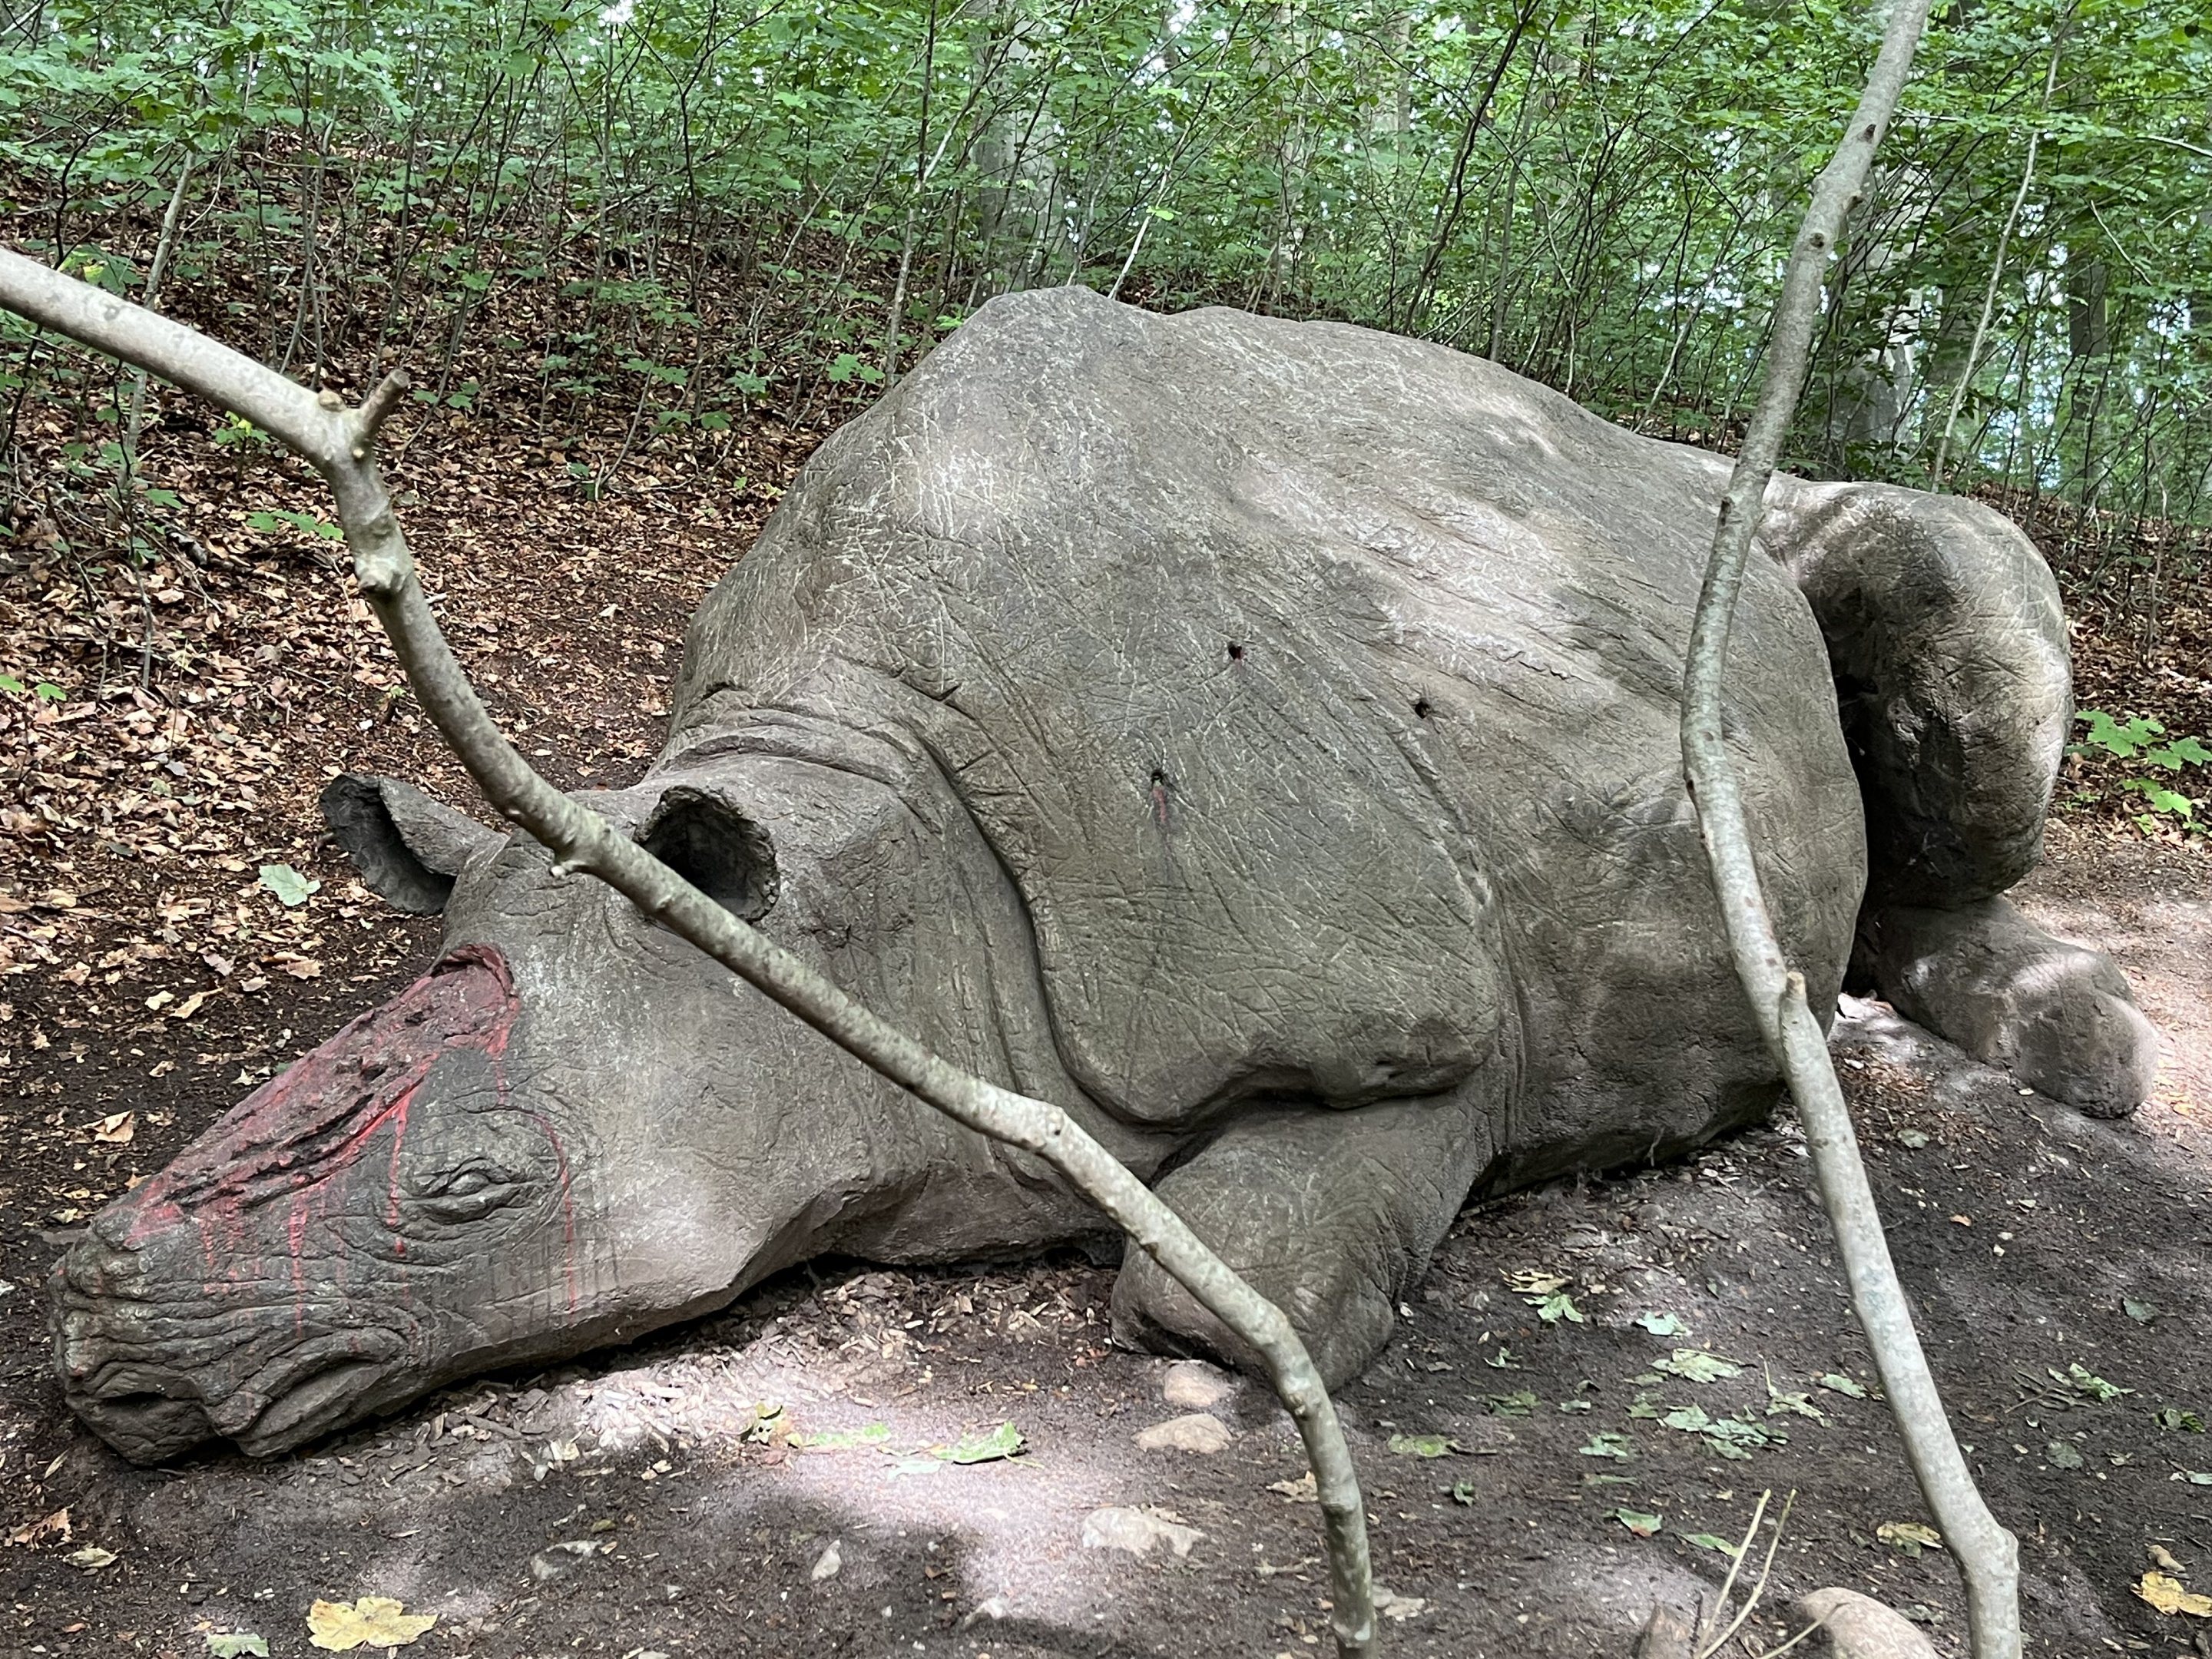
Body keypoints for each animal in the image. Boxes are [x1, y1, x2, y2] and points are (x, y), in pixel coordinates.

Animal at [54, 288, 2156, 1464]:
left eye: (476, 1196)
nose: (102, 1363)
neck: (883, 911)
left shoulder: (1431, 980)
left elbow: (1229, 1284)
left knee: (1951, 589)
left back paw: (2075, 1054)